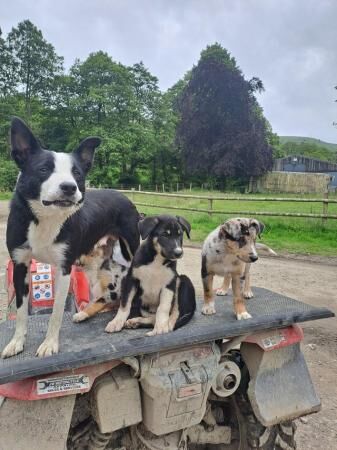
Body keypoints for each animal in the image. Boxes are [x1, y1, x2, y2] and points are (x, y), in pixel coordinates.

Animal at [1, 117, 139, 358]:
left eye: (77, 174)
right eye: (43, 169)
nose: (69, 187)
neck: (46, 218)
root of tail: (123, 196)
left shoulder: (64, 268)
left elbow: (56, 312)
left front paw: (49, 344)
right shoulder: (20, 265)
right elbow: (20, 311)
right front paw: (17, 342)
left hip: (131, 251)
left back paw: (119, 319)